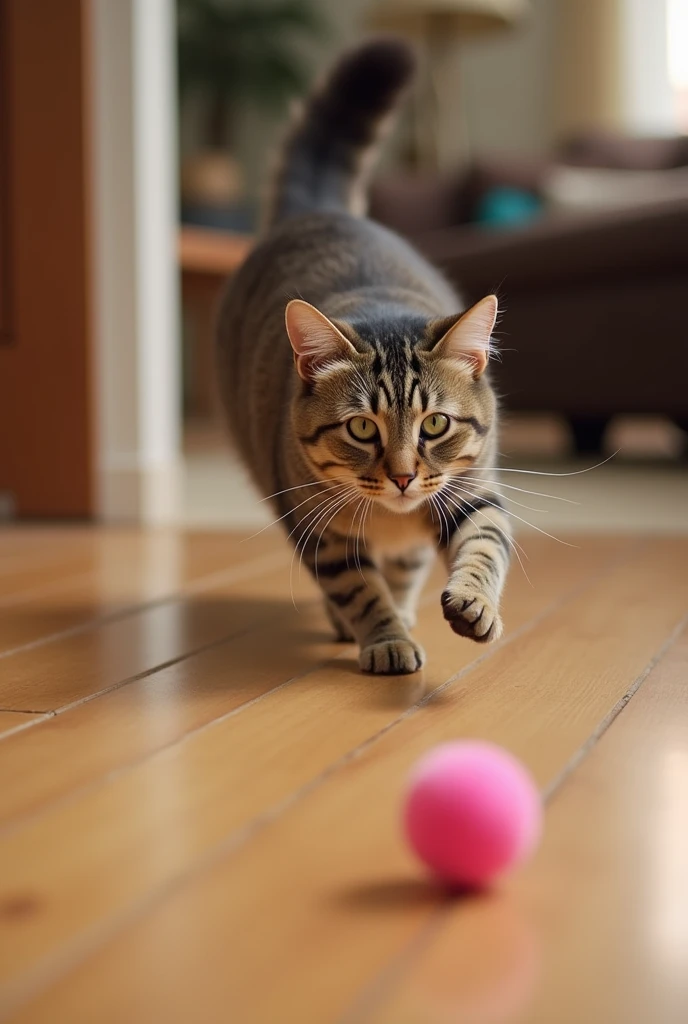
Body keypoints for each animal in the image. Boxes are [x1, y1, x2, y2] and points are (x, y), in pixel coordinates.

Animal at [218, 39, 513, 675]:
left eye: (436, 423)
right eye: (360, 428)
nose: (403, 477)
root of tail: (317, 211)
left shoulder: (471, 490)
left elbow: (483, 545)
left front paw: (472, 603)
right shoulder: (318, 530)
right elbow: (358, 588)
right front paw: (385, 639)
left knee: (406, 568)